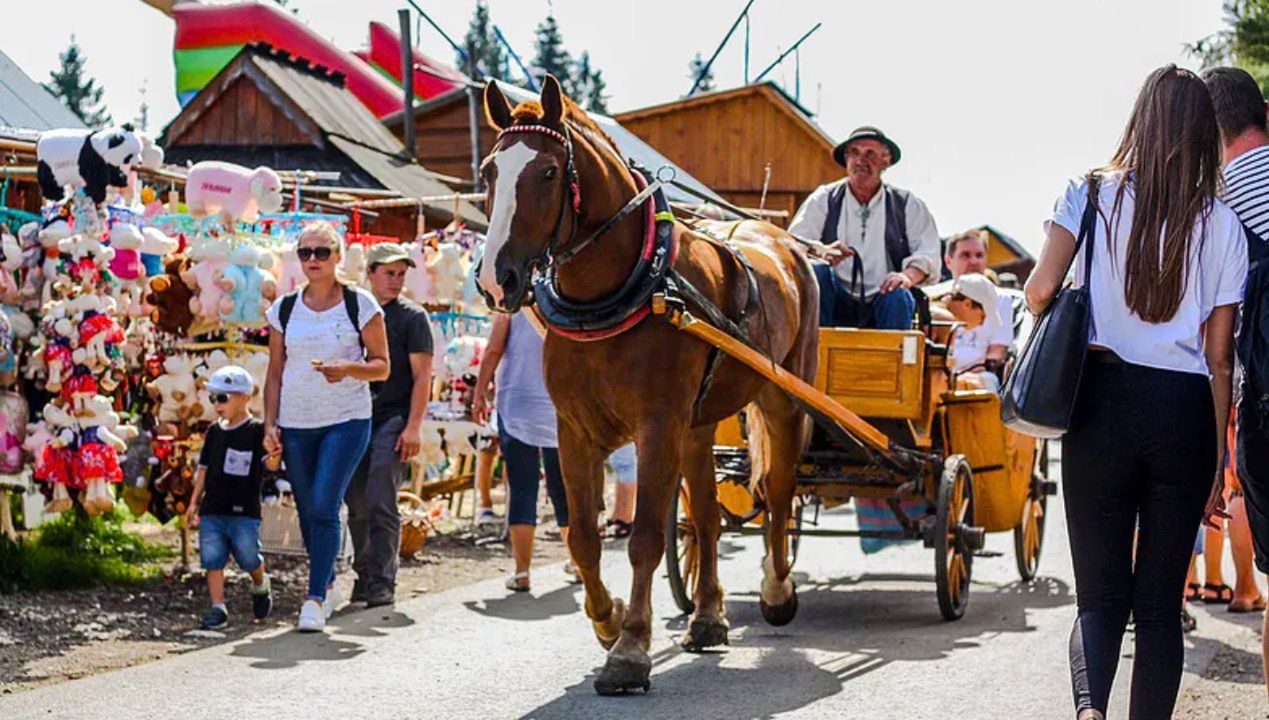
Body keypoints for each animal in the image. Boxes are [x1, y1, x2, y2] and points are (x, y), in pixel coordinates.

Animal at [477, 76, 822, 695]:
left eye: (547, 172)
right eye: (490, 171)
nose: (498, 279)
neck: (623, 289)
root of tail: (780, 238)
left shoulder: (657, 427)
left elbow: (642, 540)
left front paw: (631, 650)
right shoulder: (575, 431)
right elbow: (583, 538)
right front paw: (608, 621)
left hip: (783, 397)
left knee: (780, 491)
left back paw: (777, 588)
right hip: (700, 423)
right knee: (705, 516)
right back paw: (707, 616)